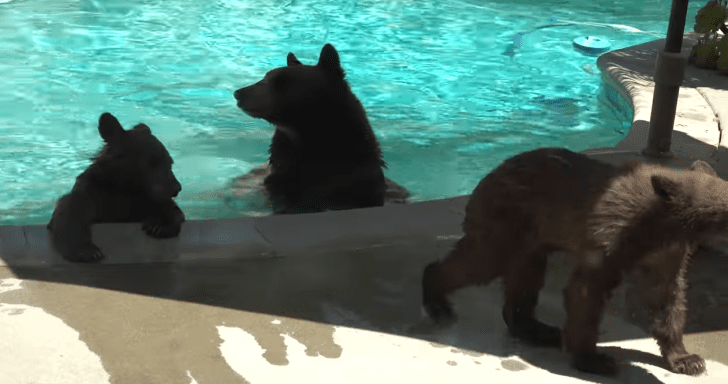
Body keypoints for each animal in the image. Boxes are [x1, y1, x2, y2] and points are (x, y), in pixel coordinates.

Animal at [47, 112, 185, 262]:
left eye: (170, 162)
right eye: (151, 162)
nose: (176, 188)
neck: (125, 186)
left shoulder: (143, 200)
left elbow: (171, 209)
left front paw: (158, 227)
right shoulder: (93, 194)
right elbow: (70, 212)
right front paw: (88, 251)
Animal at [420, 147, 724, 376]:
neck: (661, 222)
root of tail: (489, 174)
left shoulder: (667, 252)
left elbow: (666, 297)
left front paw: (687, 359)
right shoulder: (611, 235)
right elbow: (587, 292)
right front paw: (595, 359)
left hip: (529, 239)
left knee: (524, 278)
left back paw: (539, 329)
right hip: (506, 221)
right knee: (481, 261)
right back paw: (437, 300)